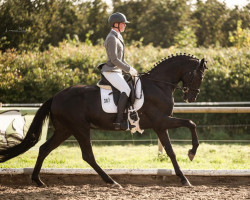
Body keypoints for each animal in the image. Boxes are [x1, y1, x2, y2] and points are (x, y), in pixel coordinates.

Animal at [0, 54, 207, 187]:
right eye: (198, 75)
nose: (192, 97)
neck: (159, 85)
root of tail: (56, 96)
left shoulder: (160, 126)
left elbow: (171, 151)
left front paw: (184, 178)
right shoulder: (161, 122)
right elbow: (191, 124)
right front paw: (192, 153)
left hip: (64, 130)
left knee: (45, 149)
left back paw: (38, 180)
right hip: (80, 128)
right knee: (88, 156)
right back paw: (112, 181)